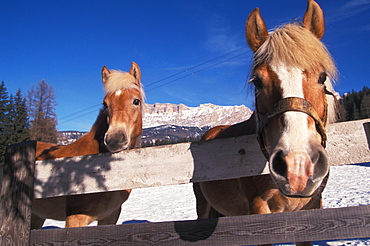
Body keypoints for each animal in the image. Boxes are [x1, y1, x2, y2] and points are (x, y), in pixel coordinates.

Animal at [194, 0, 338, 245]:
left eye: (322, 77)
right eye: (258, 82)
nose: (297, 166)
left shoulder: (311, 209)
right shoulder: (260, 210)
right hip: (203, 206)